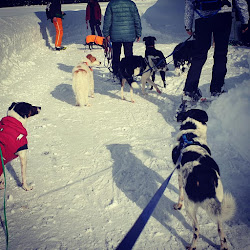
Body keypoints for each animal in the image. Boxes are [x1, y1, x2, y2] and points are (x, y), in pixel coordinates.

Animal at [173, 109, 235, 250]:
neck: (190, 134)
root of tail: (205, 177)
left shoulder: (179, 175)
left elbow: (180, 193)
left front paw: (178, 205)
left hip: (190, 207)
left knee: (197, 229)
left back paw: (192, 246)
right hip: (219, 200)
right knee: (220, 228)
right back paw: (223, 245)